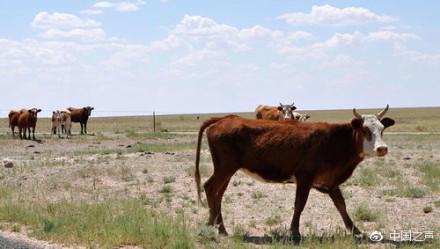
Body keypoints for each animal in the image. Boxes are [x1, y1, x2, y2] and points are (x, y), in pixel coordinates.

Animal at [196, 104, 396, 242]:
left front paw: (356, 230)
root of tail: (225, 119)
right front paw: (295, 233)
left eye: (382, 129)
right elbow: (299, 204)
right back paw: (209, 224)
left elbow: (341, 205)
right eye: (365, 130)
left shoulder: (330, 182)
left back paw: (221, 228)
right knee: (210, 187)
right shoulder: (304, 178)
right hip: (225, 168)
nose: (382, 148)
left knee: (219, 193)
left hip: (228, 170)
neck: (333, 141)